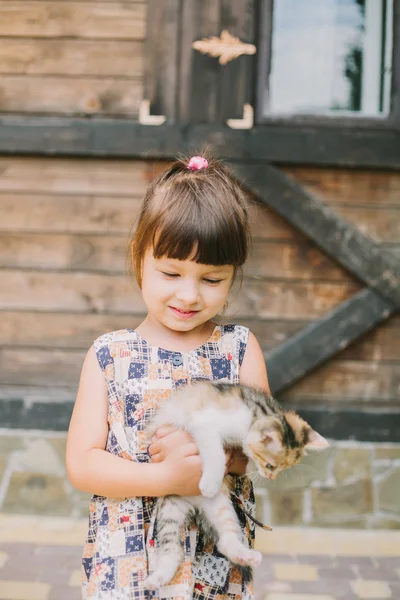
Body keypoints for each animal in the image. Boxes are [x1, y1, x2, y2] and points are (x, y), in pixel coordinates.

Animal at [144, 382, 328, 588]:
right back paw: (157, 579)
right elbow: (215, 451)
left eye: (284, 468)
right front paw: (210, 483)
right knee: (173, 549)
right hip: (170, 504)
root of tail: (195, 505)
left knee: (224, 540)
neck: (255, 414)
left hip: (220, 506)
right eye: (270, 466)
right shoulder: (204, 421)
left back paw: (245, 556)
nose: (271, 477)